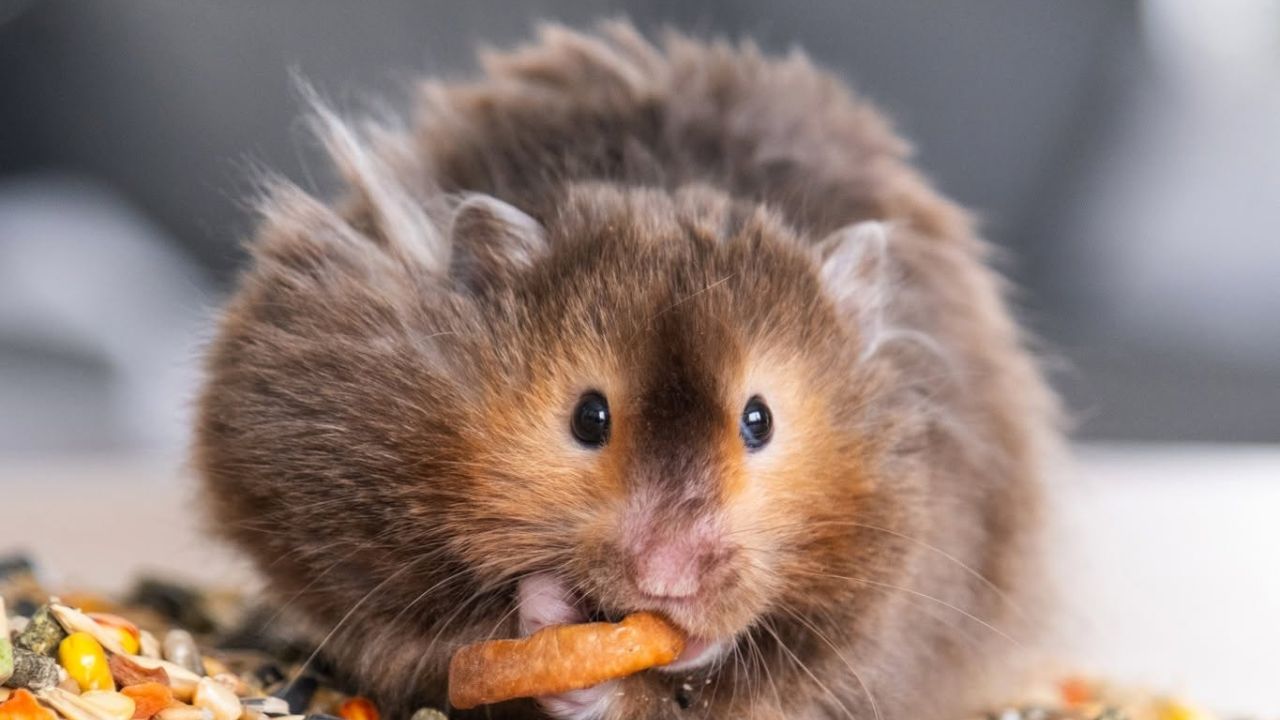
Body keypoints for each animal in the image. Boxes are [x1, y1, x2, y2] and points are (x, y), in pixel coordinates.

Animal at [194, 22, 1060, 720]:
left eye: (759, 421)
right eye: (589, 417)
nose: (664, 580)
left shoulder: (899, 591)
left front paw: (673, 647)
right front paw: (549, 610)